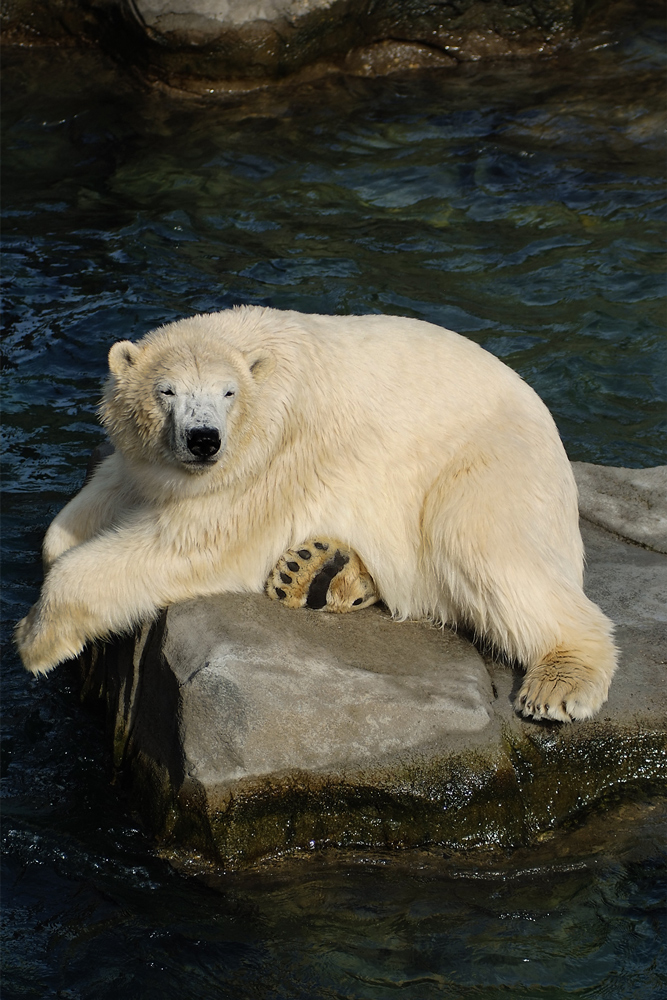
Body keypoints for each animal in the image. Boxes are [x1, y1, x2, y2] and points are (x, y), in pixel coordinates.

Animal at [15, 304, 620, 720]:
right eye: (167, 391)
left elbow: (189, 541)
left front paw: (35, 640)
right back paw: (315, 571)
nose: (203, 439)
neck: (258, 356)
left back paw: (558, 683)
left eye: (227, 392)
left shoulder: (266, 456)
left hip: (488, 467)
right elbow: (102, 501)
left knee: (487, 549)